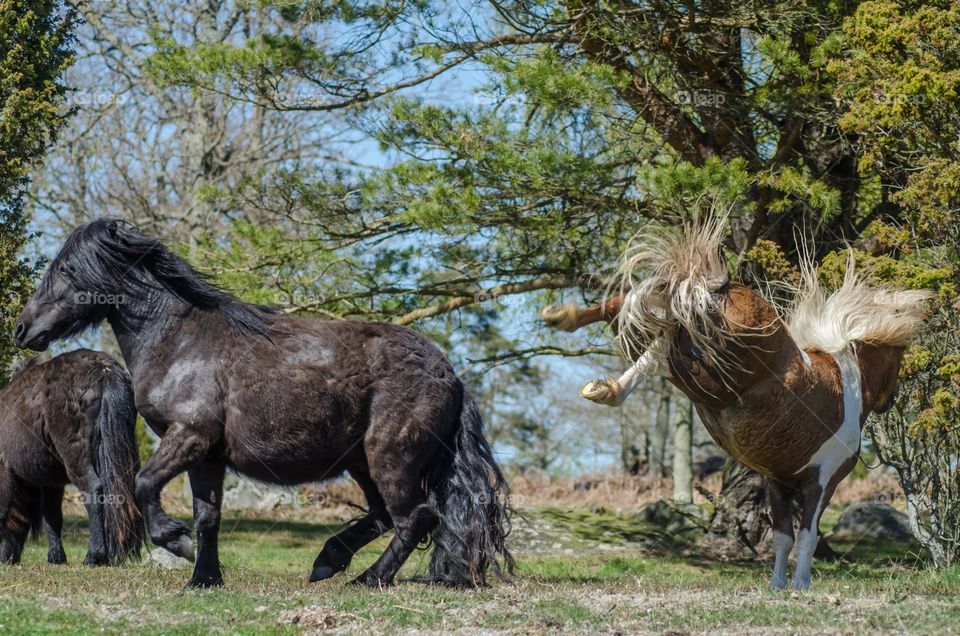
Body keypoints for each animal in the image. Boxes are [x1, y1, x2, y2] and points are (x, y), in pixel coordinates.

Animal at [0, 350, 142, 564]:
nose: (6, 558)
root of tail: (105, 369)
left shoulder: (6, 471)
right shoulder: (51, 483)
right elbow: (52, 517)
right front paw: (56, 557)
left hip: (77, 460)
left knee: (93, 491)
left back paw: (94, 556)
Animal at [544, 220, 928, 592]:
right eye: (898, 358)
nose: (890, 400)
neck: (846, 383)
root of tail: (717, 289)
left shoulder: (778, 482)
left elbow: (783, 536)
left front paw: (777, 586)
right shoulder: (822, 481)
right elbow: (807, 537)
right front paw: (801, 585)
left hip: (696, 358)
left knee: (635, 310)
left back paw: (566, 325)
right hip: (714, 372)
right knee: (660, 346)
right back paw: (603, 378)